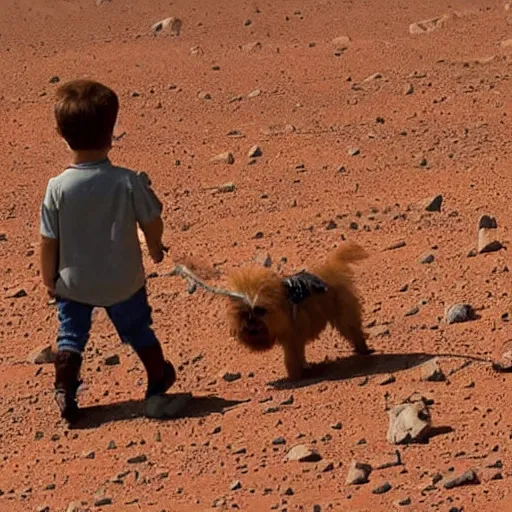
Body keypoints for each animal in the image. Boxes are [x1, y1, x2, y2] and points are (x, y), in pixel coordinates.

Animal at [224, 243, 372, 380]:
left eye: (260, 311)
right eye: (244, 313)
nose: (250, 323)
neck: (283, 303)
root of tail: (333, 267)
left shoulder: (292, 337)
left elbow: (292, 358)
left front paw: (294, 375)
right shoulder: (294, 337)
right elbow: (298, 354)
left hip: (343, 313)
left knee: (353, 330)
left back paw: (362, 349)